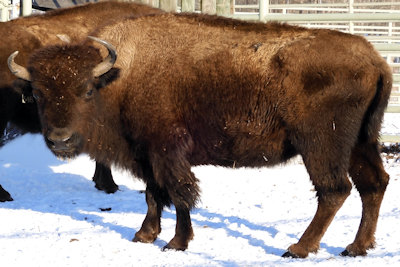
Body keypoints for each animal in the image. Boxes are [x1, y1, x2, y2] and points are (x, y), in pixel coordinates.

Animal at [7, 13, 392, 260]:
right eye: (37, 94)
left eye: (86, 90)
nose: (60, 140)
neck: (120, 76)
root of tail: (377, 60)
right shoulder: (146, 155)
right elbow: (153, 195)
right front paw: (144, 235)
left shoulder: (167, 152)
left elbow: (180, 194)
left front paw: (177, 243)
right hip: (361, 143)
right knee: (373, 184)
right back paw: (356, 247)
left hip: (321, 145)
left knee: (334, 190)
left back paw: (298, 248)